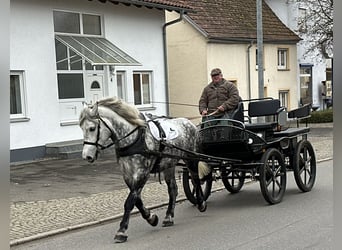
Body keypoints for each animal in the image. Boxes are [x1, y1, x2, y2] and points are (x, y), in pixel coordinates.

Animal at [79, 97, 206, 242]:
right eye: (81, 128)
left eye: (92, 128)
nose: (86, 156)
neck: (134, 138)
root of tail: (190, 123)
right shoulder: (128, 174)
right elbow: (136, 199)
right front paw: (151, 218)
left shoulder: (142, 173)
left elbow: (130, 201)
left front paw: (121, 231)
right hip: (169, 164)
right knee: (173, 189)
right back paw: (169, 216)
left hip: (191, 159)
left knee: (195, 179)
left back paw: (201, 203)